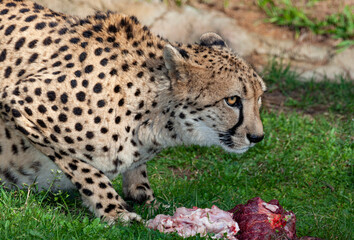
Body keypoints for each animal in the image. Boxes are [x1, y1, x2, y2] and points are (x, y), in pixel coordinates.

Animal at [0, 0, 266, 224]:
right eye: (232, 100)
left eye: (260, 96)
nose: (257, 137)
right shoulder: (19, 101)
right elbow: (84, 168)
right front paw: (114, 210)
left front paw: (144, 198)